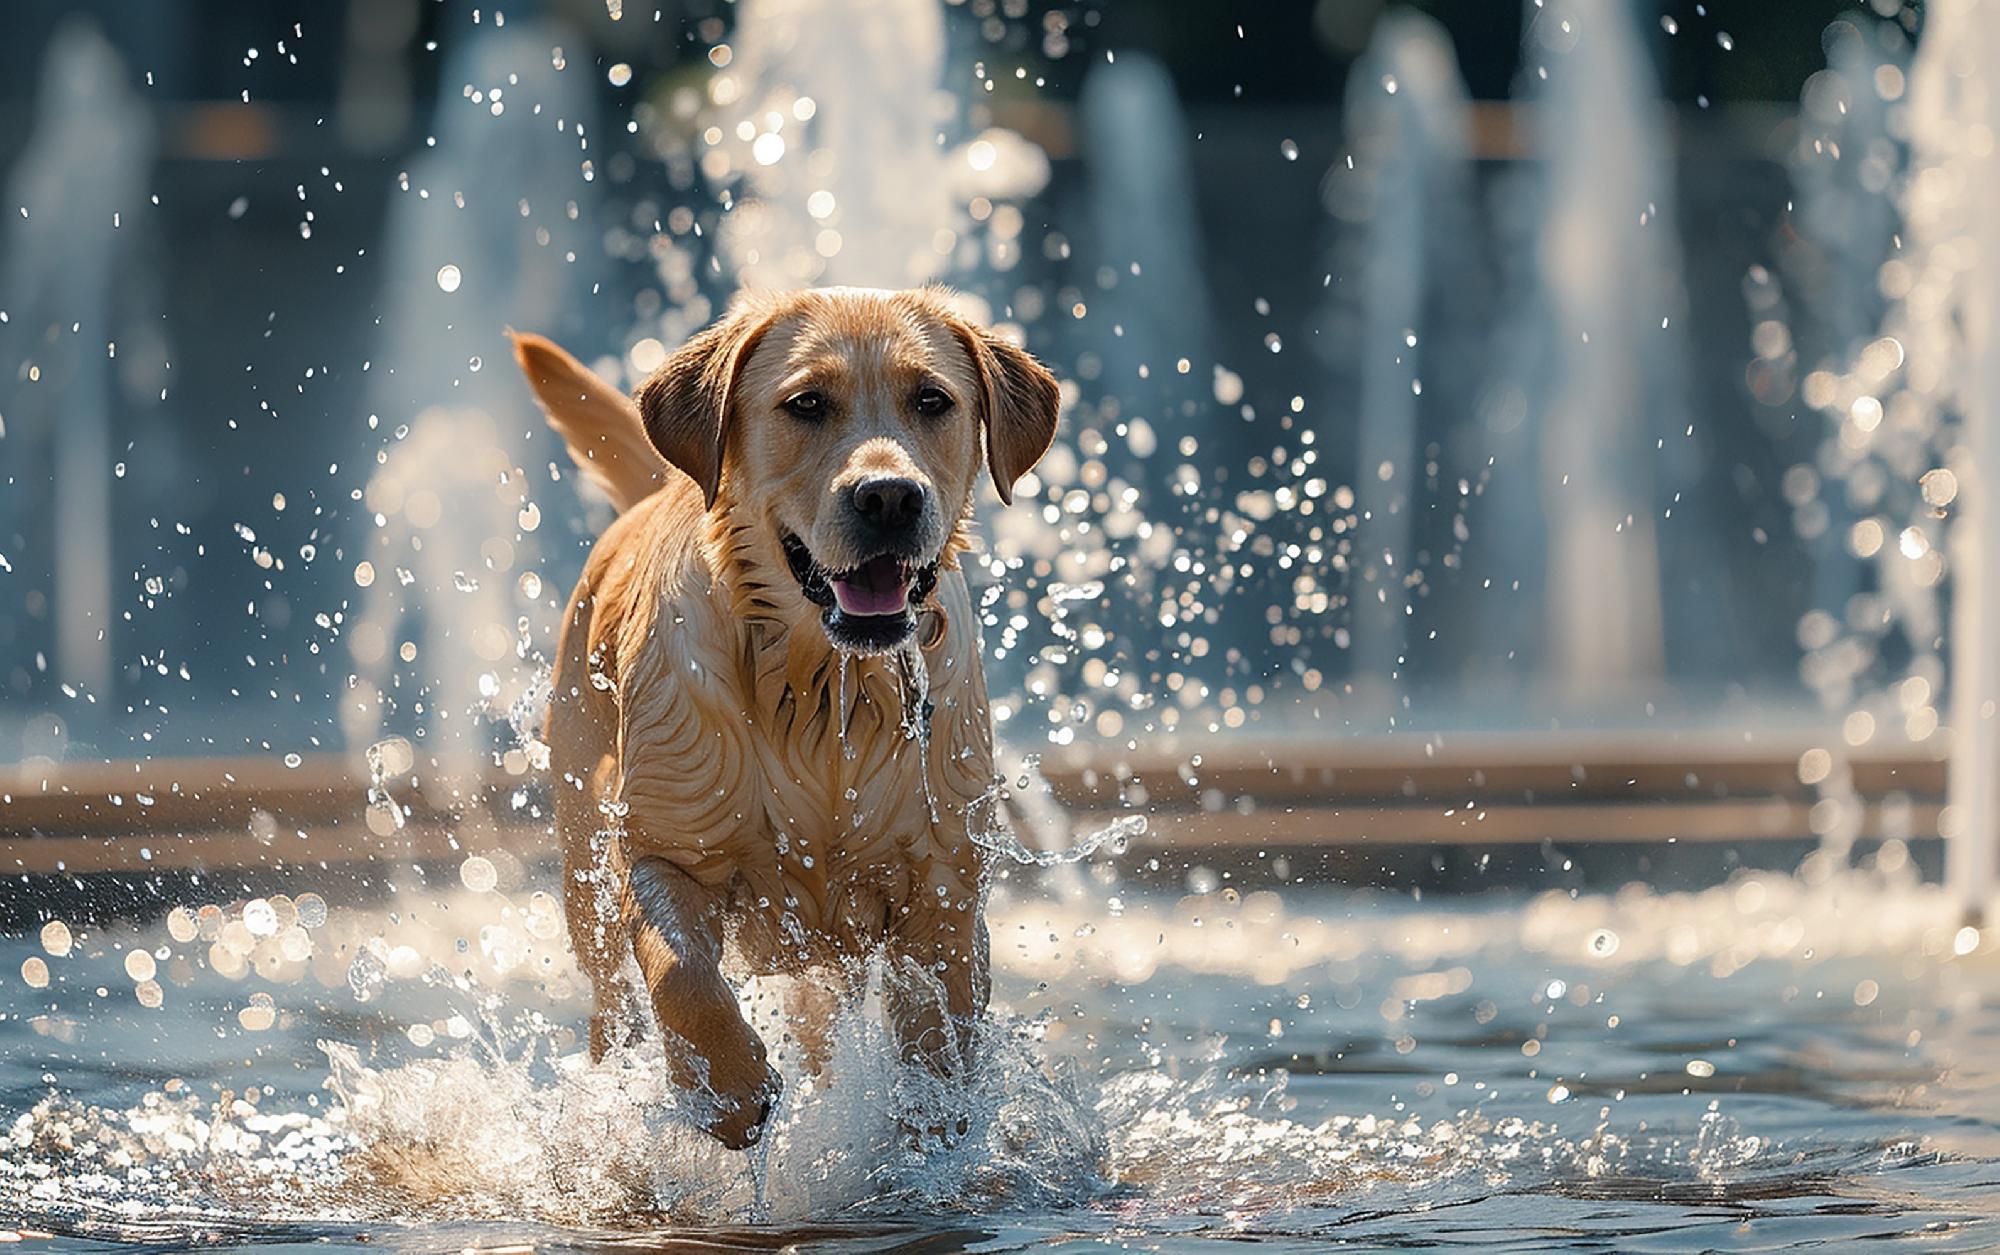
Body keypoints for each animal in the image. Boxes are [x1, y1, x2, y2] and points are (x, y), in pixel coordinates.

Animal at [508, 289, 1056, 1151]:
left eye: (932, 400)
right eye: (806, 404)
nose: (889, 496)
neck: (823, 687)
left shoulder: (945, 887)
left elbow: (939, 1028)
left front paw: (929, 1134)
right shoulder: (667, 849)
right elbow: (682, 974)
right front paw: (730, 1092)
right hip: (583, 873)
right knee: (613, 1002)